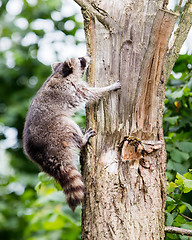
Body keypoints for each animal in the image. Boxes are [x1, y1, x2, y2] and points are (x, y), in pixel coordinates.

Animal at [23, 55, 121, 210]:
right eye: (81, 59)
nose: (89, 56)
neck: (60, 73)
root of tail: (40, 154)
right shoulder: (71, 90)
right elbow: (91, 93)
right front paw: (109, 88)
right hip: (56, 131)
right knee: (67, 122)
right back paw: (82, 140)